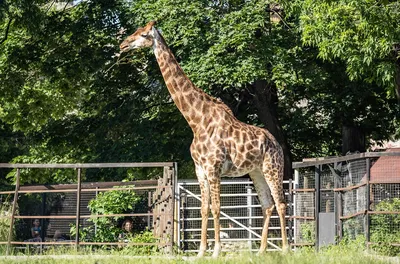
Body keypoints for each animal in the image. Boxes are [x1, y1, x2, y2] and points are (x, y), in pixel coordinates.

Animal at [119, 21, 288, 258]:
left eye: (143, 34)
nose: (123, 45)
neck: (196, 120)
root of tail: (276, 143)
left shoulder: (213, 168)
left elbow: (217, 208)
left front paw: (216, 251)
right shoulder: (200, 169)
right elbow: (204, 209)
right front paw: (200, 252)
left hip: (273, 167)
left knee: (281, 204)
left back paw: (287, 249)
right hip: (256, 171)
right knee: (267, 205)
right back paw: (262, 251)